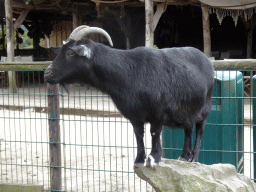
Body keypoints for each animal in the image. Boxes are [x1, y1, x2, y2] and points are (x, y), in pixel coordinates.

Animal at [45, 25, 215, 168]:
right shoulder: (134, 114)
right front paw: (139, 159)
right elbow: (138, 134)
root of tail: (207, 61)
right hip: (187, 109)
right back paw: (184, 156)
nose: (47, 73)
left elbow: (154, 133)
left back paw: (194, 158)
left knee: (200, 129)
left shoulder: (157, 112)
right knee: (188, 129)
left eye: (70, 53)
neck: (128, 72)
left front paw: (154, 158)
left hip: (205, 107)